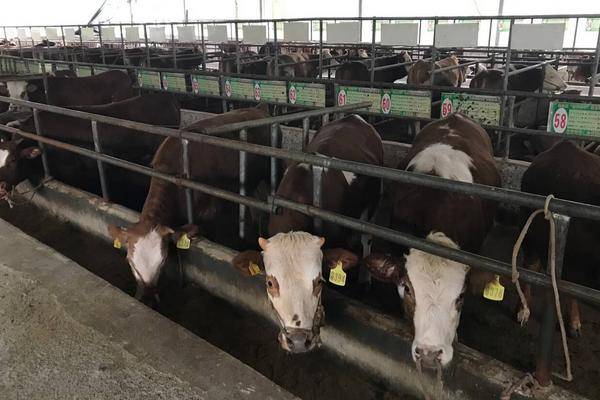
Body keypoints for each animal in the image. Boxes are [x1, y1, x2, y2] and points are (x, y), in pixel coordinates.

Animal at [232, 115, 382, 354]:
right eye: (270, 283)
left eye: (319, 281)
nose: (299, 341)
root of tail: (354, 117)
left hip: (373, 201)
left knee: (367, 237)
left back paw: (365, 279)